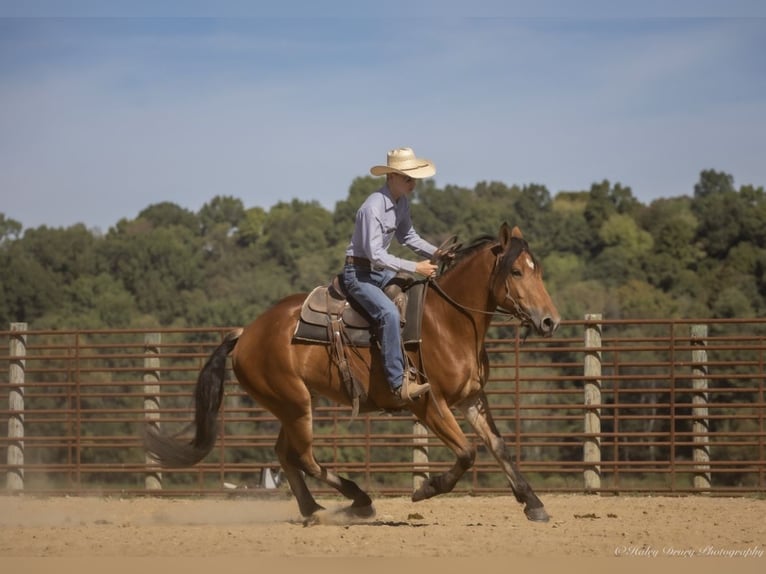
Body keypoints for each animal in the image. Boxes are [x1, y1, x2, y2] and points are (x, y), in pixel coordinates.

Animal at [145, 223, 560, 522]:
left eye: (538, 270)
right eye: (517, 272)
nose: (549, 320)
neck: (448, 321)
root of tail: (246, 333)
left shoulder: (472, 398)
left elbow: (499, 447)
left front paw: (534, 504)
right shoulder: (428, 404)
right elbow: (467, 453)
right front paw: (424, 489)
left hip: (292, 404)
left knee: (286, 455)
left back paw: (314, 510)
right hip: (295, 404)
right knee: (304, 457)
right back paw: (357, 500)